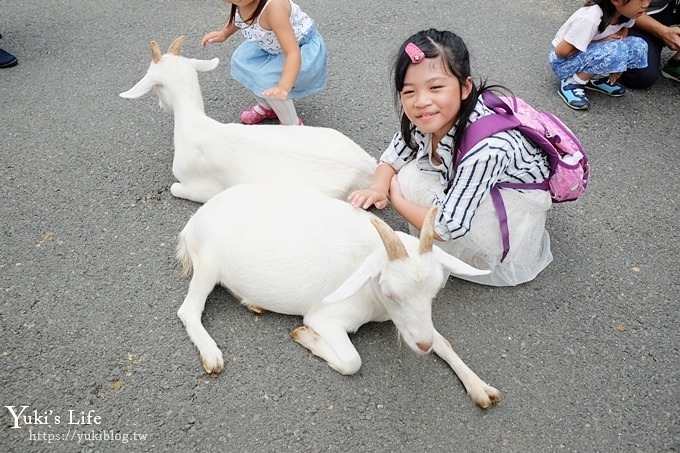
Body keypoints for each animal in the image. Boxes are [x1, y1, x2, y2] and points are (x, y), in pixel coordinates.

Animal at [121, 36, 378, 202]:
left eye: (156, 89)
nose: (161, 106)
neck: (194, 124)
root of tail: (369, 166)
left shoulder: (204, 188)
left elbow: (176, 188)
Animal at [178, 182, 502, 408]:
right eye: (391, 293)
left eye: (434, 293)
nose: (422, 346)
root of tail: (193, 223)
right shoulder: (327, 318)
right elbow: (351, 361)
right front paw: (306, 336)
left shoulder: (411, 323)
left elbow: (444, 342)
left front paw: (480, 387)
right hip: (208, 266)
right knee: (188, 310)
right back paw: (211, 354)